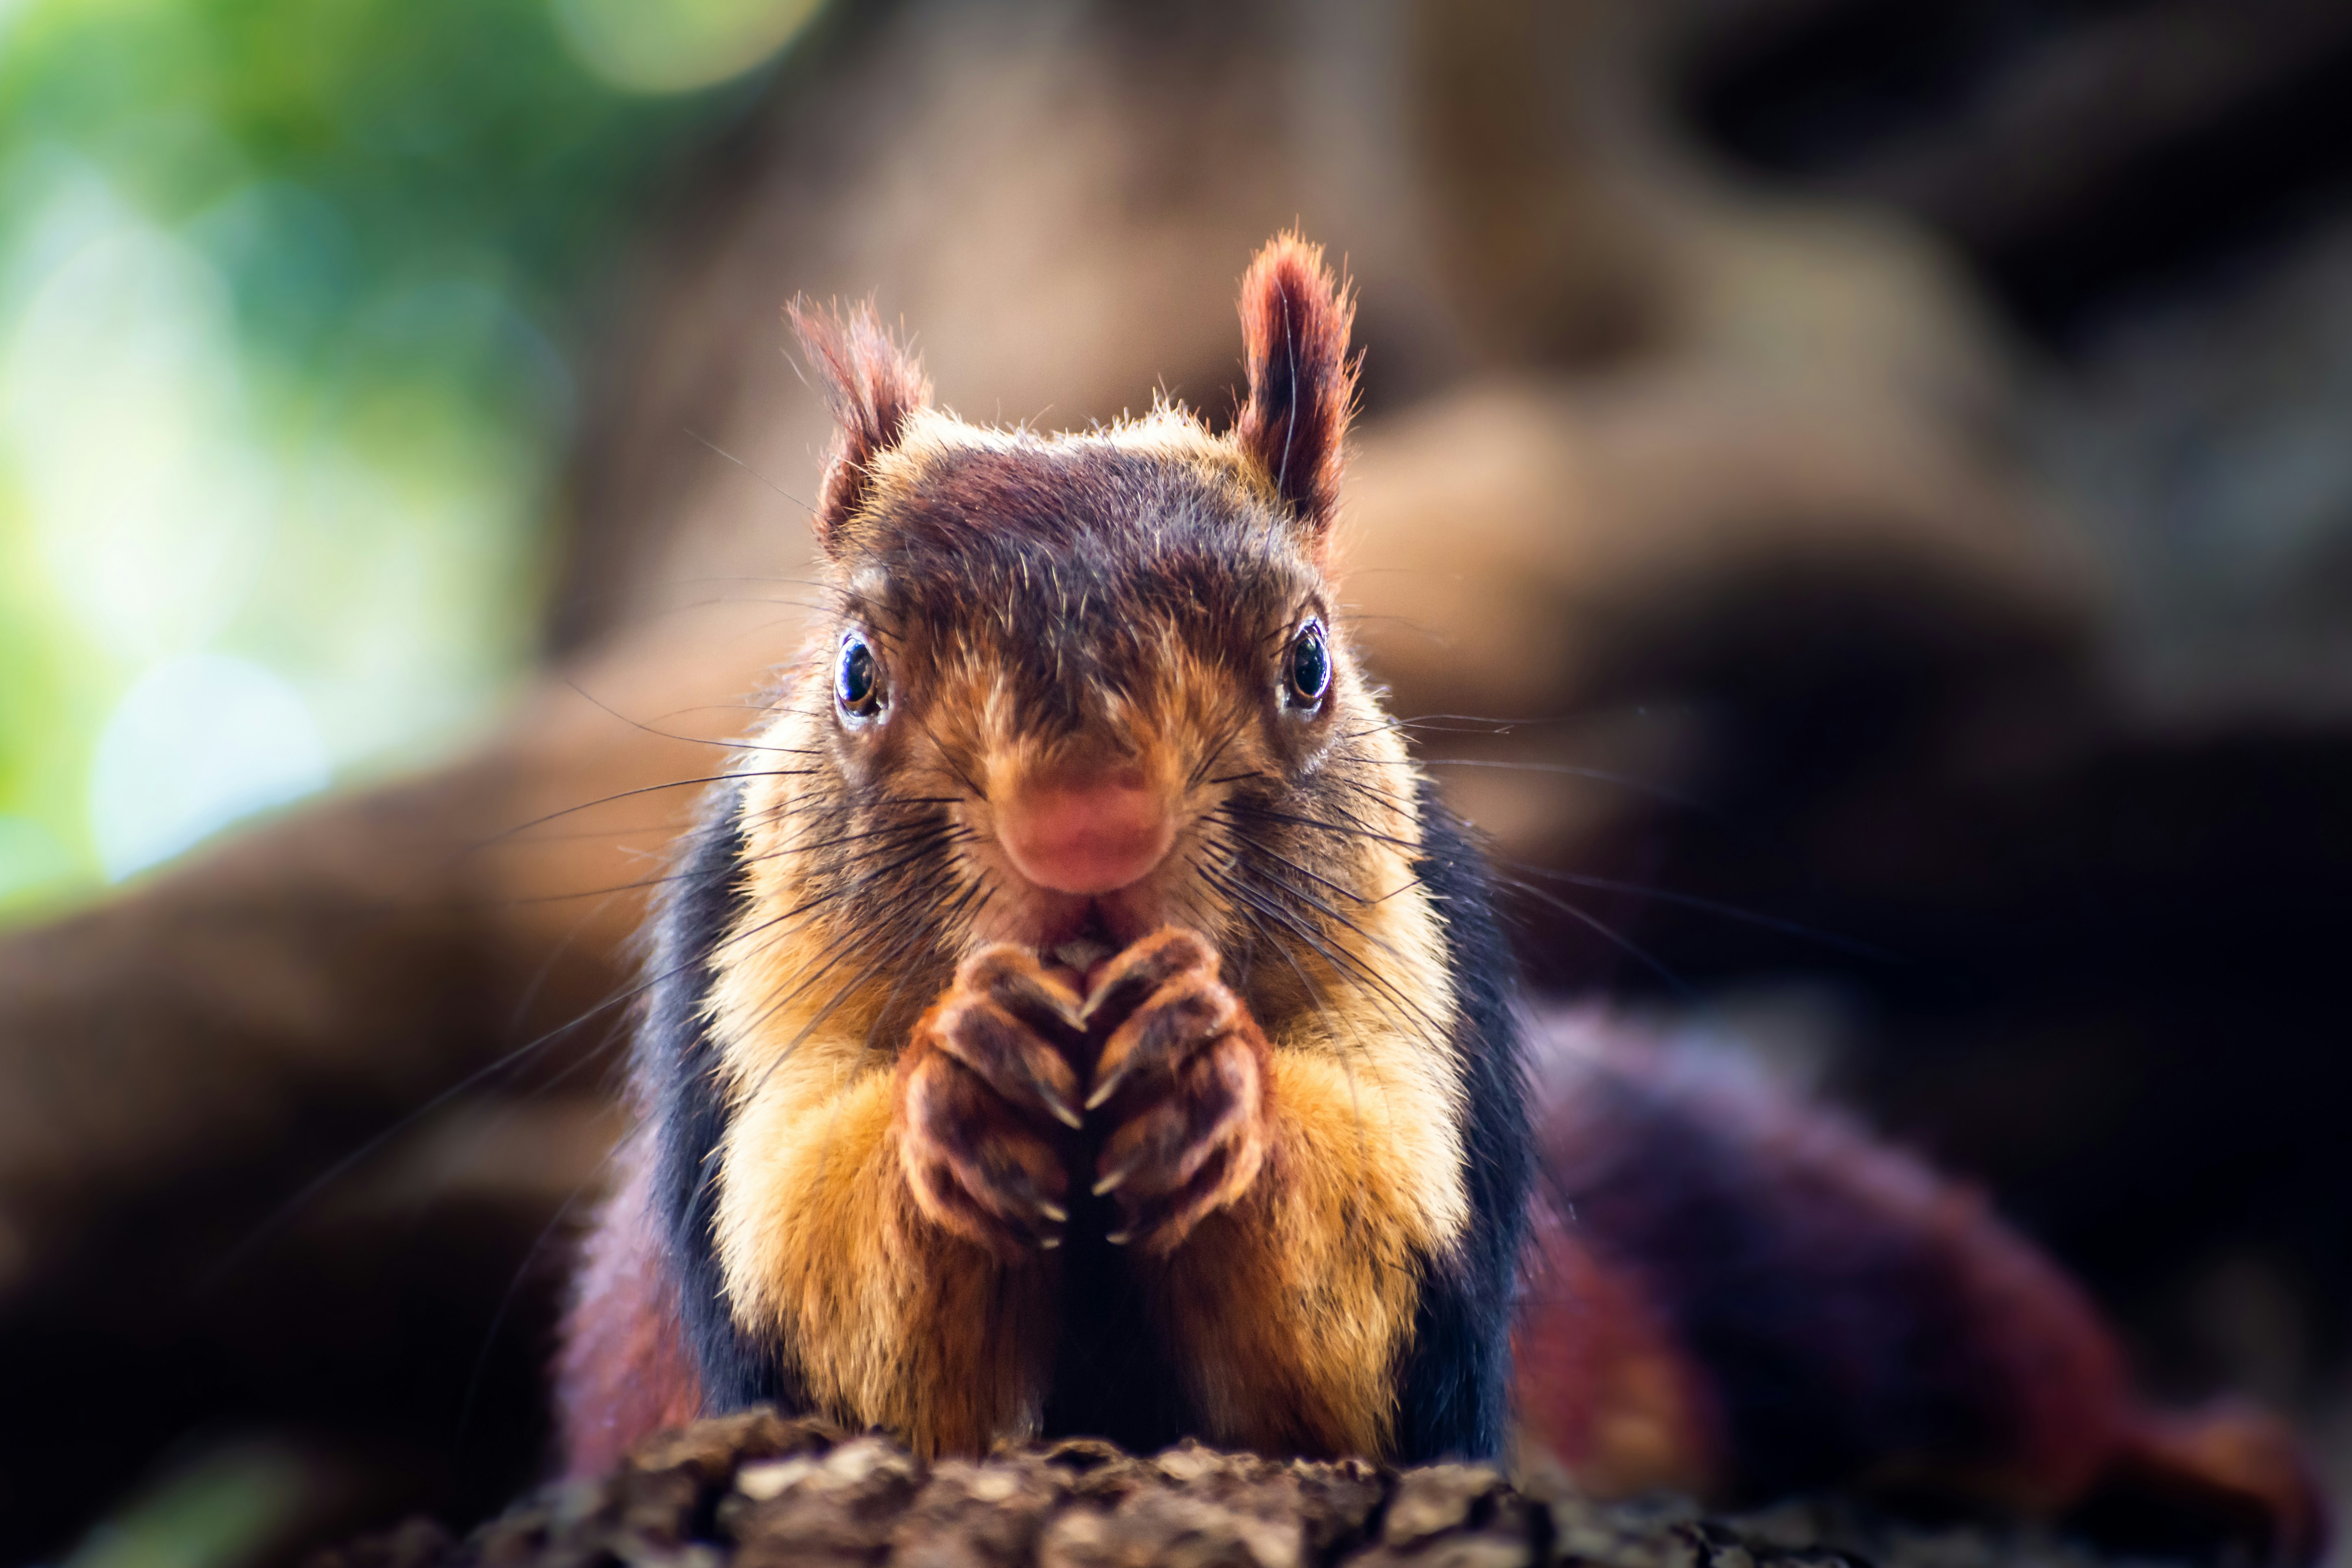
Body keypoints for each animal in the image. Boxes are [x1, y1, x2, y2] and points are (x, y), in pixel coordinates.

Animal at [556, 235, 2326, 1562]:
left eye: (1308, 658)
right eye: (856, 671)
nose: (1086, 833)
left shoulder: (1433, 1068)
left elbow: (1355, 1357)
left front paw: (1220, 1083)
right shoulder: (737, 1052)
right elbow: (842, 1349)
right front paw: (967, 1083)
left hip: (1813, 1244)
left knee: (1988, 1361)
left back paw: (2202, 1456)